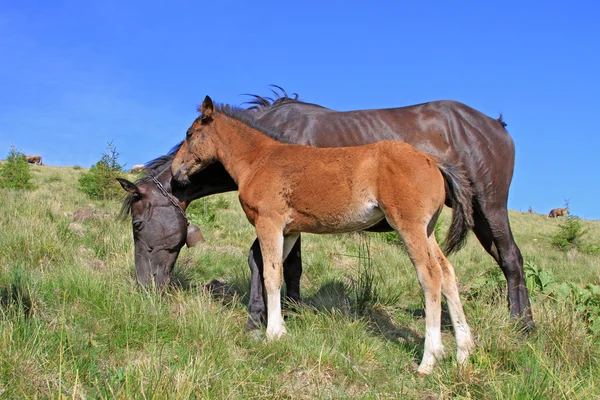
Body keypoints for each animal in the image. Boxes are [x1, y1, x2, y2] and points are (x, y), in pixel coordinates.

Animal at [119, 88, 532, 332]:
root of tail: (494, 125)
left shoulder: (284, 219)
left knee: (511, 258)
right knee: (499, 260)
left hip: (490, 205)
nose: (143, 288)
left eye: (138, 225)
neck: (266, 146)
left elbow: (279, 264)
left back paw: (522, 325)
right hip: (474, 215)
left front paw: (275, 315)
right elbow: (274, 263)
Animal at [171, 97, 476, 376]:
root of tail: (433, 161)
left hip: (409, 226)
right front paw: (281, 327)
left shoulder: (269, 223)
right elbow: (278, 271)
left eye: (189, 133)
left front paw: (273, 334)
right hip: (428, 231)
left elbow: (271, 275)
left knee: (430, 276)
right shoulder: (290, 231)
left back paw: (429, 359)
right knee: (448, 274)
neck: (258, 160)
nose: (176, 171)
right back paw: (463, 353)